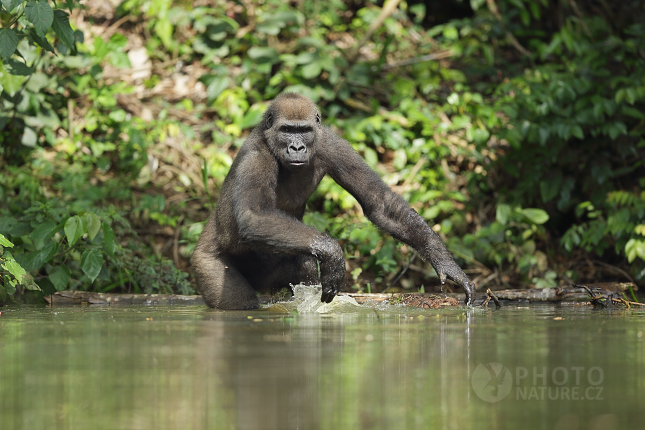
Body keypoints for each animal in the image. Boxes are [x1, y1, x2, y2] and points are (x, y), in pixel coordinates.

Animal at [191, 94, 472, 310]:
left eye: (303, 130)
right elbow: (254, 215)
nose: (296, 148)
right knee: (240, 302)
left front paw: (443, 260)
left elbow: (379, 202)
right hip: (204, 263)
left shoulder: (332, 143)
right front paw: (335, 255)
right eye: (286, 130)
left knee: (302, 263)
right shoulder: (256, 155)